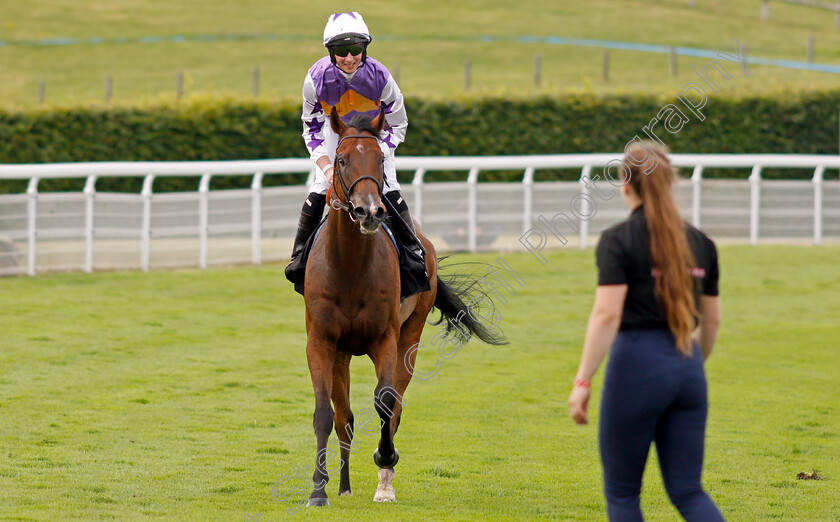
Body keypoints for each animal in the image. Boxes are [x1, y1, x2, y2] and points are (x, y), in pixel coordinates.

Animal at [302, 106, 506, 504]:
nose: (368, 211)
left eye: (381, 159)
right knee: (344, 418)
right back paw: (344, 487)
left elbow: (385, 401)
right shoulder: (321, 341)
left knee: (394, 407)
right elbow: (323, 412)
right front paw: (319, 491)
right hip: (342, 353)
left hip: (409, 336)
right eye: (342, 159)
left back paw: (384, 483)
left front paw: (385, 458)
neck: (349, 266)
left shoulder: (385, 337)